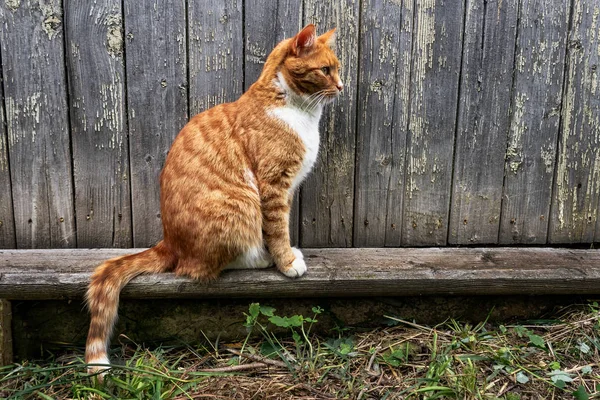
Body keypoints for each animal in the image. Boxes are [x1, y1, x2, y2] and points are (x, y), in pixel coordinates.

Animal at [86, 24, 344, 376]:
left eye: (338, 69)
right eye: (325, 70)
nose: (342, 86)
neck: (294, 108)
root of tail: (168, 242)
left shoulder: (286, 189)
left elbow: (279, 229)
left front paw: (288, 253)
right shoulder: (273, 187)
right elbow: (278, 229)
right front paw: (286, 262)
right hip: (240, 203)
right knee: (199, 267)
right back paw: (259, 258)